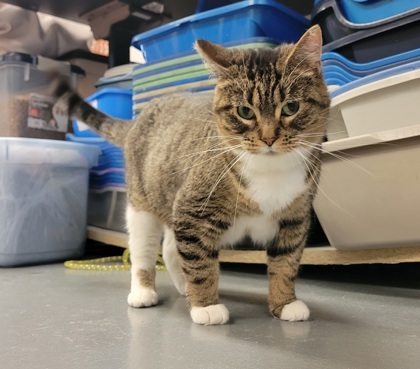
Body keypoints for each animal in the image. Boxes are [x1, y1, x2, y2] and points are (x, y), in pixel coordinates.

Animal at [54, 25, 332, 324]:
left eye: (291, 108)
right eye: (244, 112)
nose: (269, 139)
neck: (270, 170)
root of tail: (138, 119)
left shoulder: (295, 217)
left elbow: (286, 262)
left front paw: (285, 303)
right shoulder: (192, 209)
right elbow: (200, 264)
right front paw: (206, 306)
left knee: (169, 249)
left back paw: (183, 288)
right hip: (142, 204)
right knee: (144, 249)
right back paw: (144, 291)